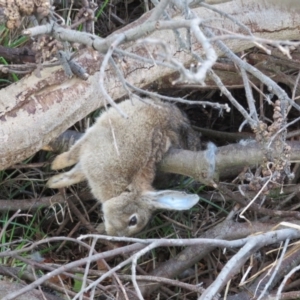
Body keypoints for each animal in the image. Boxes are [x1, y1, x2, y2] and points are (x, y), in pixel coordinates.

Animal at [47, 97, 200, 236]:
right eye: (133, 220)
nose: (112, 233)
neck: (124, 188)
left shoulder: (89, 163)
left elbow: (74, 175)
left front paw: (53, 182)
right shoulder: (93, 145)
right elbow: (71, 156)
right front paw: (56, 164)